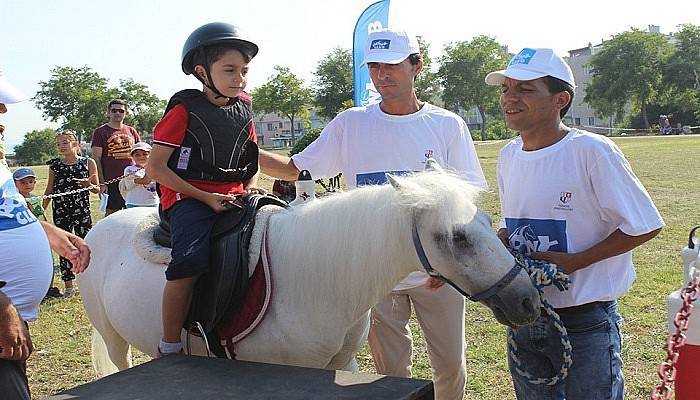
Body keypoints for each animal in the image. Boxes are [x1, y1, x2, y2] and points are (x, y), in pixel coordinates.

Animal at [80, 168, 540, 376]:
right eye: (458, 237)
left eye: (487, 221)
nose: (527, 300)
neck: (314, 281)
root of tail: (98, 229)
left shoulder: (343, 362)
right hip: (112, 336)